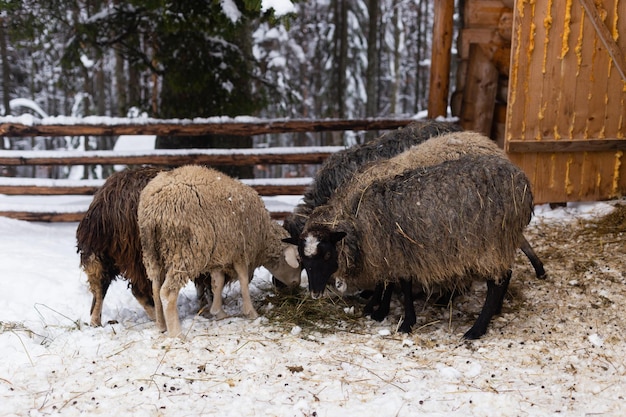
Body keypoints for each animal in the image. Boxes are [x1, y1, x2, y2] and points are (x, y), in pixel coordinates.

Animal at [74, 165, 212, 324]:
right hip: (139, 253)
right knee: (139, 289)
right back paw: (160, 317)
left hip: (103, 255)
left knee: (100, 287)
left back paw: (96, 323)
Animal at [137, 164, 302, 336]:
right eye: (298, 259)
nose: (296, 286)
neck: (263, 237)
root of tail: (153, 210)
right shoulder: (240, 252)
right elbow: (243, 280)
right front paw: (251, 312)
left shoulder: (219, 254)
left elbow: (217, 282)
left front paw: (218, 312)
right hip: (184, 252)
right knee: (167, 292)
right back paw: (177, 333)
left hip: (152, 254)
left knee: (155, 288)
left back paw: (161, 325)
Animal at [286, 153, 532, 338]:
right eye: (303, 258)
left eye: (327, 256)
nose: (314, 293)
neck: (357, 222)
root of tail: (522, 182)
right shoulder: (388, 252)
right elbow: (390, 282)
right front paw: (378, 309)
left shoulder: (396, 251)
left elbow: (400, 284)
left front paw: (400, 320)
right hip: (499, 244)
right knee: (505, 275)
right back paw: (495, 311)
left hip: (490, 244)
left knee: (497, 283)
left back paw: (476, 330)